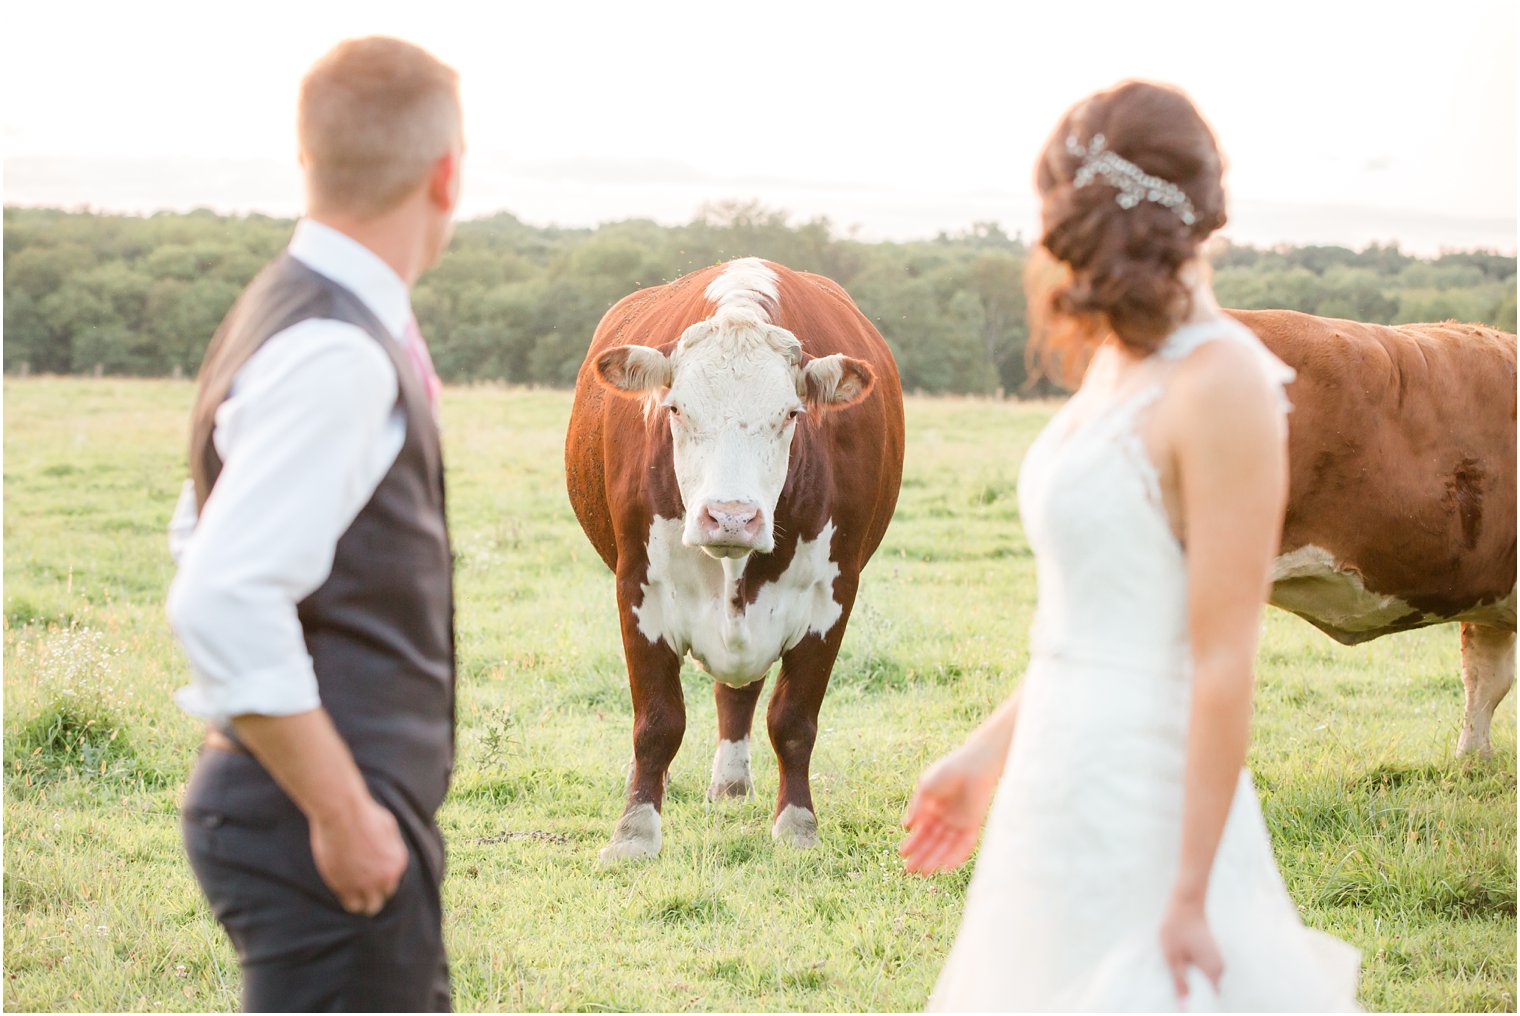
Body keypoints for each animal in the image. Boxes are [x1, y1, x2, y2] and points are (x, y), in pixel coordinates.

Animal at [568, 258, 899, 863]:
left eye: (790, 414)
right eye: (676, 408)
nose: (730, 517)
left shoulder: (832, 596)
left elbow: (793, 720)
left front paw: (797, 825)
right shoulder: (638, 589)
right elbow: (657, 721)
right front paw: (634, 831)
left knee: (739, 693)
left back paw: (732, 781)